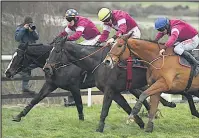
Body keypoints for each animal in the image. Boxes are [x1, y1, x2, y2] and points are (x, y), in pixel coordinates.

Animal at [43, 38, 176, 133]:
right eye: (49, 51)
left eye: (56, 51)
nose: (46, 68)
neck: (99, 62)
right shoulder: (115, 91)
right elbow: (125, 106)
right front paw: (140, 123)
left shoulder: (108, 89)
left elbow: (104, 109)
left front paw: (99, 129)